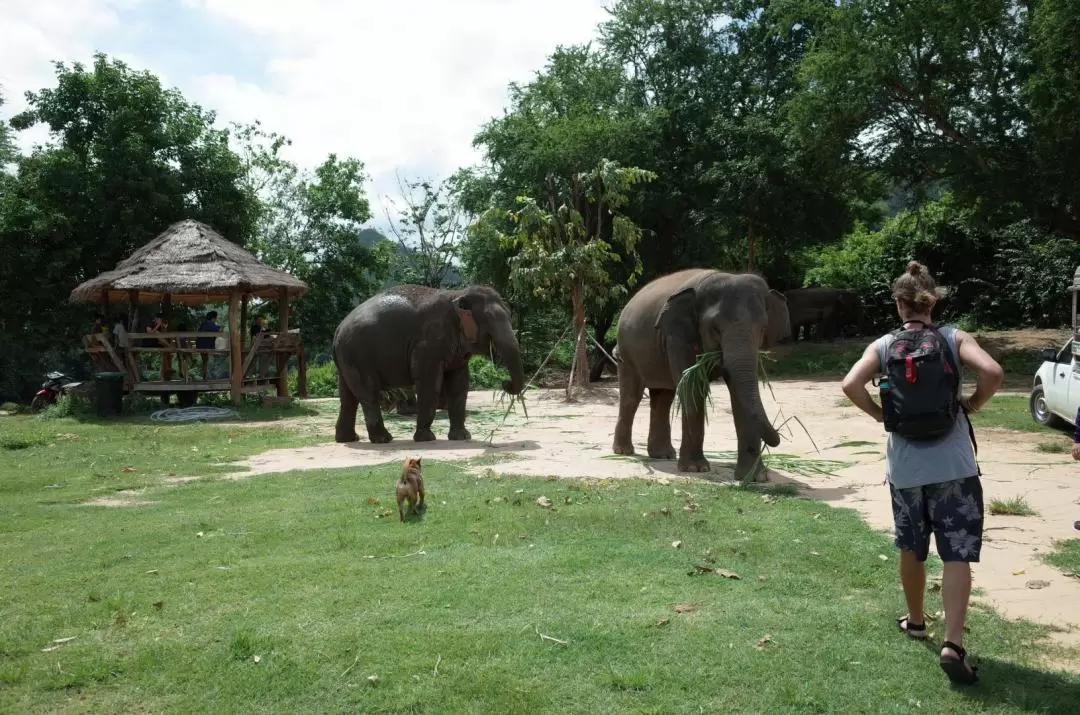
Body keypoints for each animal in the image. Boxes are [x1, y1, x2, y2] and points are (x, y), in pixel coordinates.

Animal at [332, 285, 527, 442]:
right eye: (488, 320)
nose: (505, 383)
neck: (457, 294)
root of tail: (338, 330)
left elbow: (459, 383)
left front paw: (462, 437)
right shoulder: (428, 343)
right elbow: (429, 381)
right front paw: (426, 438)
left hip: (347, 360)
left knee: (348, 397)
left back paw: (348, 439)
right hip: (358, 356)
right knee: (368, 394)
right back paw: (384, 439)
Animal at [609, 272, 794, 483]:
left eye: (762, 328)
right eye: (715, 328)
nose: (779, 437)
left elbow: (739, 394)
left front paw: (756, 478)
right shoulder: (678, 338)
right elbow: (693, 388)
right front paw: (695, 469)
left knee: (663, 398)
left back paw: (663, 455)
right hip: (626, 353)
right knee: (632, 397)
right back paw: (624, 451)